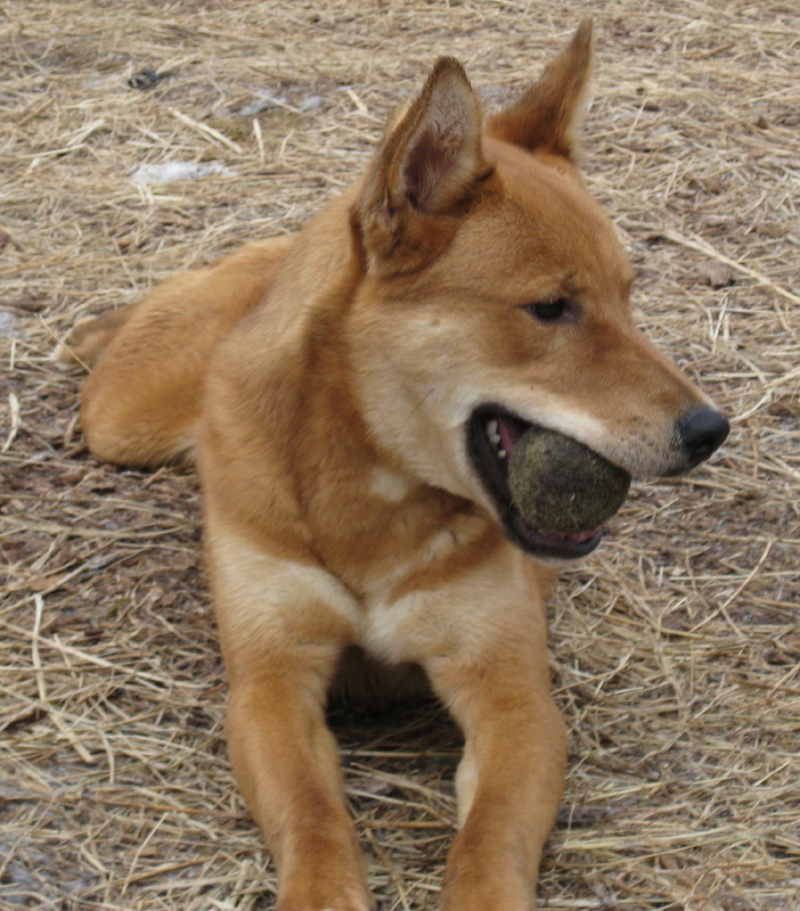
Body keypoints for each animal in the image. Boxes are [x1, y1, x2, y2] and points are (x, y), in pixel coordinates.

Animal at [61, 19, 732, 911]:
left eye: (629, 297)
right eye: (550, 308)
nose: (710, 428)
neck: (367, 498)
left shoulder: (512, 697)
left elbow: (487, 840)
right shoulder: (271, 682)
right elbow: (311, 815)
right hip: (122, 418)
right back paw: (97, 326)